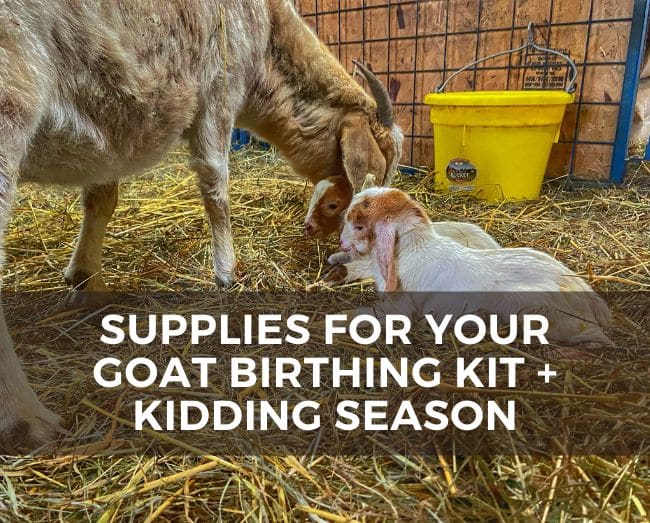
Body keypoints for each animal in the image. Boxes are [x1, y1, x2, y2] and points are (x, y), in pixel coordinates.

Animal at [0, 0, 402, 449]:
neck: (267, 34)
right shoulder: (220, 84)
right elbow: (216, 183)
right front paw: (228, 271)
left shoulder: (114, 127)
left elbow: (103, 194)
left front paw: (87, 279)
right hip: (11, 98)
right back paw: (24, 417)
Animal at [339, 188, 613, 347]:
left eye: (359, 225)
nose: (341, 243)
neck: (412, 247)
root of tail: (587, 296)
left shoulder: (401, 308)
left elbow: (364, 315)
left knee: (598, 339)